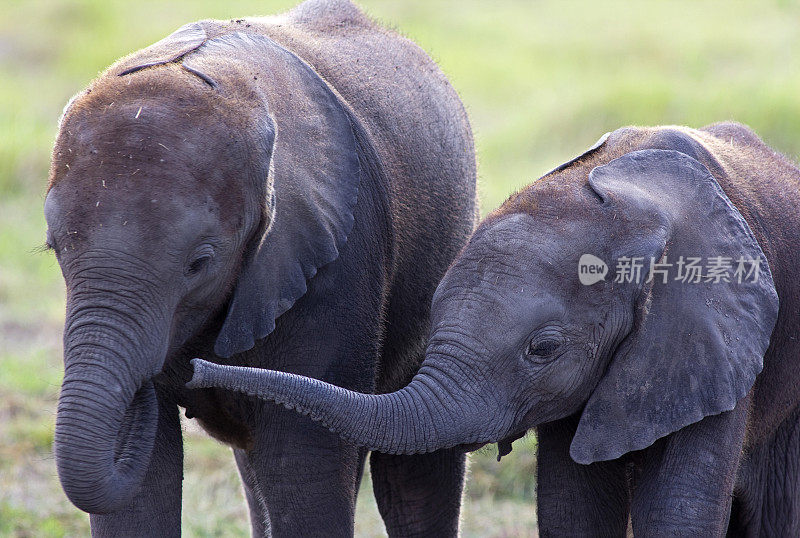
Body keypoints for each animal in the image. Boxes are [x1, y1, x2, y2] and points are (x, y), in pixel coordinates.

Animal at [47, 0, 478, 532]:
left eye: (199, 264)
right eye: (54, 249)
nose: (177, 374)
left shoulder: (335, 256)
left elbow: (303, 464)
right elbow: (144, 485)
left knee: (414, 473)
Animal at [189, 123, 800, 532]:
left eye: (544, 349)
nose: (197, 366)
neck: (625, 207)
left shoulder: (706, 347)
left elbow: (678, 509)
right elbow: (571, 506)